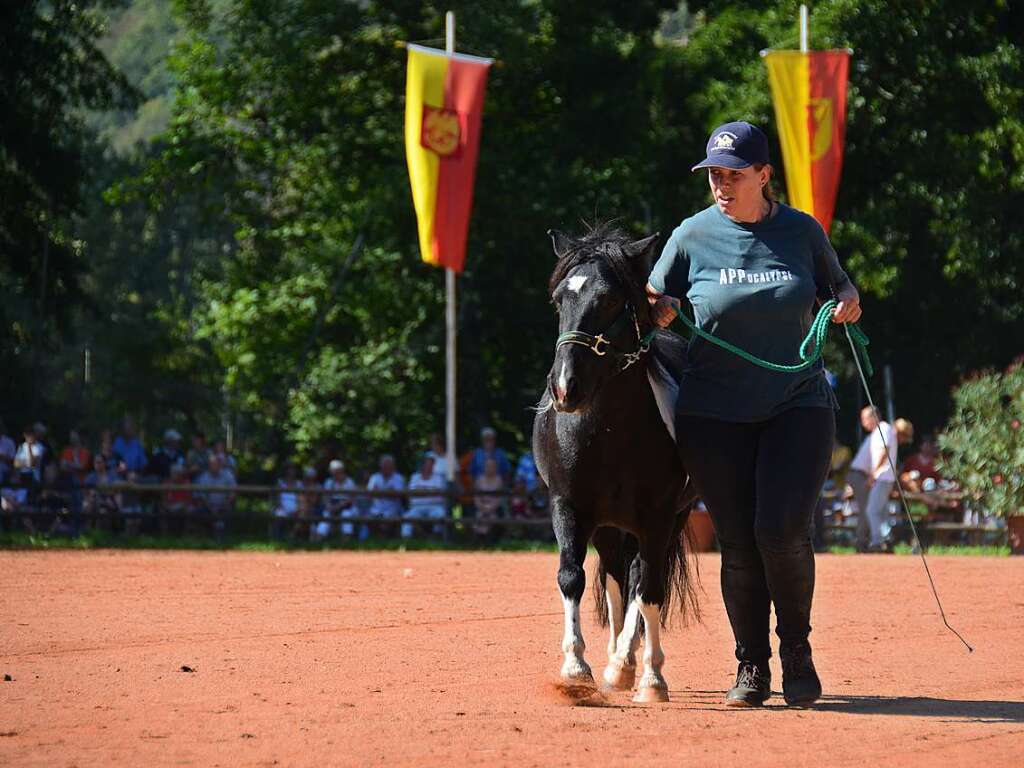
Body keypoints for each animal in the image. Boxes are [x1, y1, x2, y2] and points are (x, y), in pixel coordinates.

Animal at [536, 221, 696, 704]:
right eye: (560, 299)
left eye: (608, 300)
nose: (564, 387)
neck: (608, 435)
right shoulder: (568, 508)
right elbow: (572, 577)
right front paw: (575, 667)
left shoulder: (660, 517)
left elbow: (650, 591)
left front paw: (651, 678)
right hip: (608, 527)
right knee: (612, 576)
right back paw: (613, 660)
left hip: (669, 520)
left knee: (642, 578)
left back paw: (628, 663)